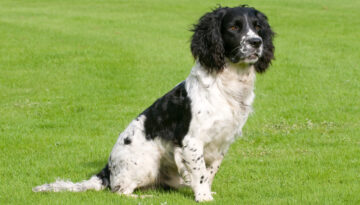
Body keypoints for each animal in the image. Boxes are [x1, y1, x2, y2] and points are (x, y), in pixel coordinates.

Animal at [34, 5, 276, 203]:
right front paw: (203, 196)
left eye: (257, 27)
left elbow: (209, 173)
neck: (226, 85)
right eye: (234, 27)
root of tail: (107, 171)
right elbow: (199, 171)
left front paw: (205, 190)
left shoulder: (222, 143)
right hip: (146, 164)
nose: (256, 42)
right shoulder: (192, 141)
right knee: (120, 190)